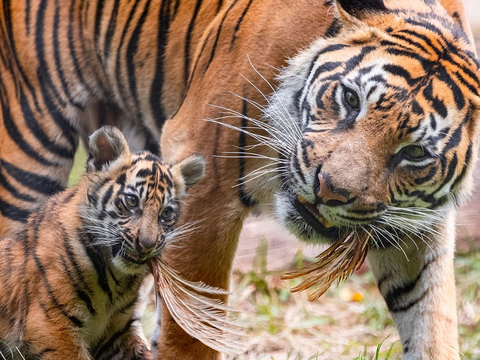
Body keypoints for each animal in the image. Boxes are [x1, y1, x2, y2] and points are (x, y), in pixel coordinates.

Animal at [0, 0, 478, 360]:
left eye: (414, 153)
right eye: (349, 99)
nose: (330, 189)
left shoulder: (415, 226)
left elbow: (432, 320)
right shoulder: (202, 180)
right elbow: (192, 330)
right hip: (27, 146)